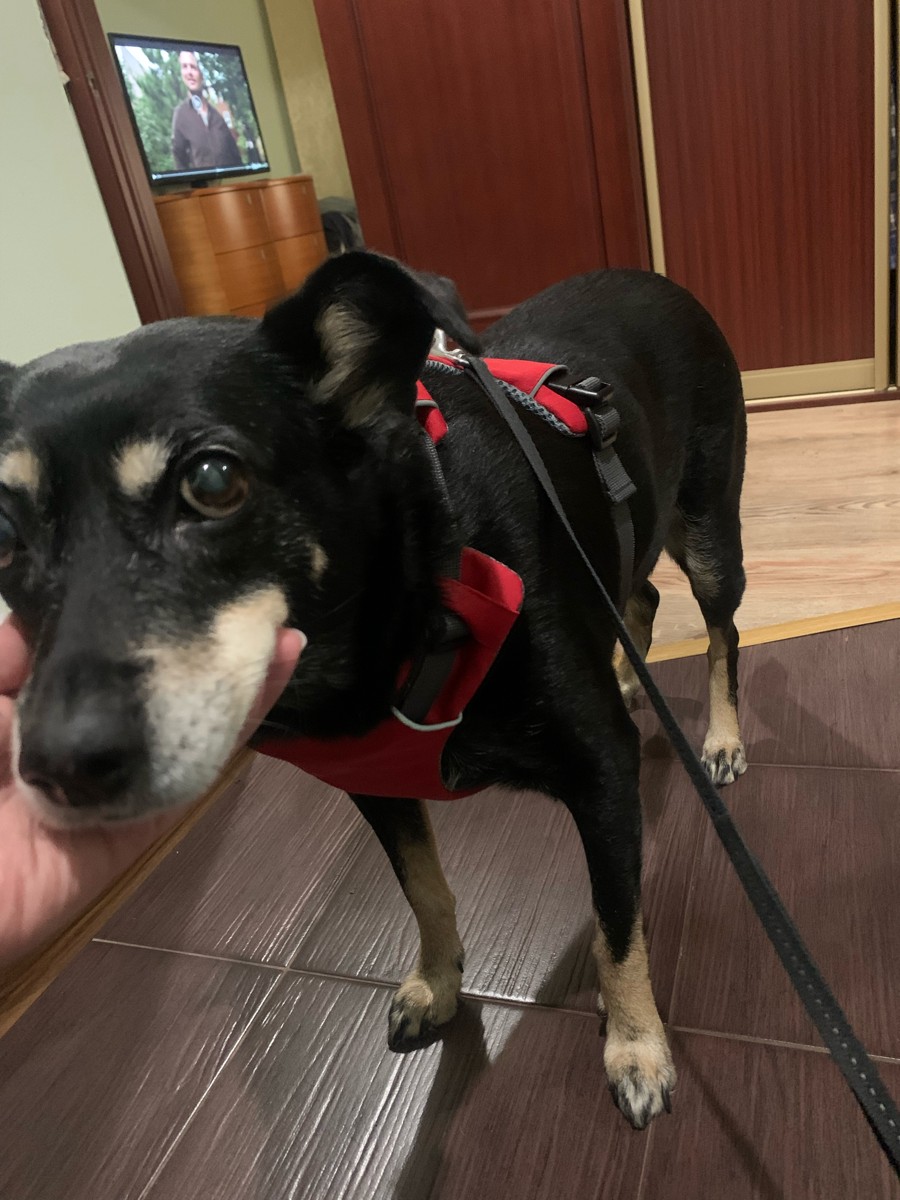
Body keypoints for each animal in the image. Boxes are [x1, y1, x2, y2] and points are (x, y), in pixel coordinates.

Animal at [0, 250, 747, 1129]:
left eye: (214, 482)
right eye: (2, 530)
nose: (60, 769)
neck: (422, 583)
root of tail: (651, 276)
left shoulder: (602, 774)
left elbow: (616, 926)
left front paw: (634, 1046)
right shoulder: (378, 786)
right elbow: (423, 890)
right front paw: (437, 983)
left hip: (709, 529)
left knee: (722, 631)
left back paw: (722, 738)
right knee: (642, 595)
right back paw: (629, 672)